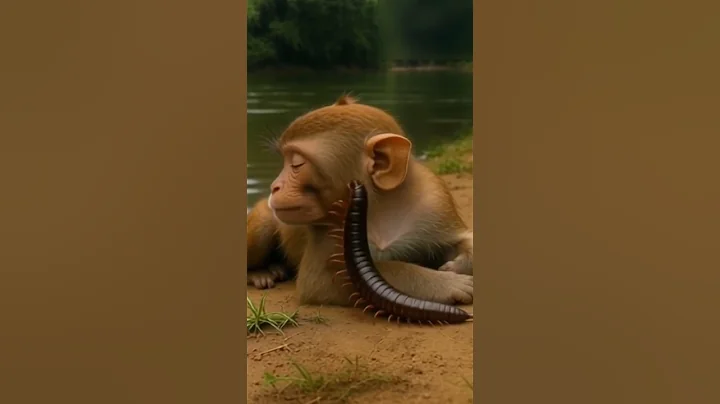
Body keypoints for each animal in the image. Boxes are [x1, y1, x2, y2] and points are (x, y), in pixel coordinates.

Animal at [247, 95, 473, 307]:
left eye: (297, 164)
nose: (274, 186)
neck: (381, 208)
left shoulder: (435, 203)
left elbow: (461, 239)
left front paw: (459, 264)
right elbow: (320, 280)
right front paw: (447, 283)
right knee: (263, 224)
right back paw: (260, 272)